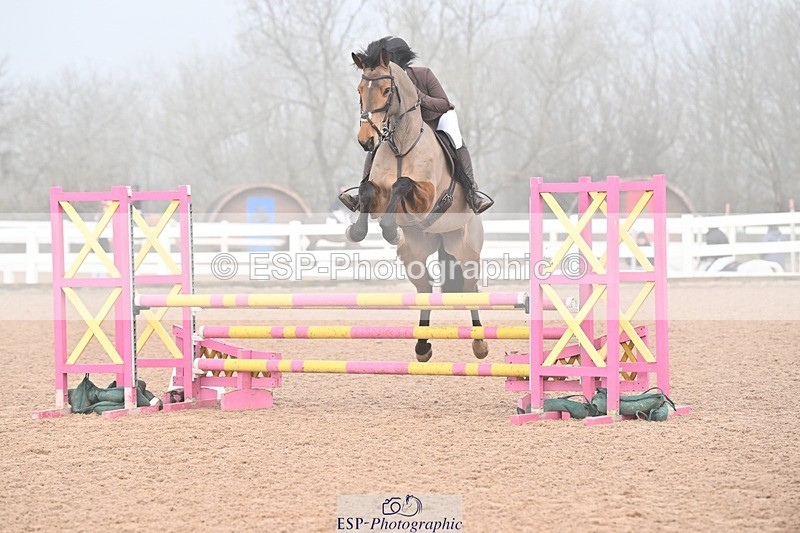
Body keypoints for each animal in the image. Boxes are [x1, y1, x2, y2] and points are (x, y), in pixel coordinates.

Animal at [348, 44, 488, 362]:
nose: (366, 141)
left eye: (387, 90)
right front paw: (359, 231)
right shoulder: (377, 192)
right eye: (360, 89)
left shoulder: (427, 196)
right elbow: (367, 190)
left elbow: (403, 184)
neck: (401, 143)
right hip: (414, 254)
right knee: (425, 288)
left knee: (470, 288)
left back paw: (480, 345)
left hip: (466, 250)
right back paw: (422, 347)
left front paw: (389, 228)